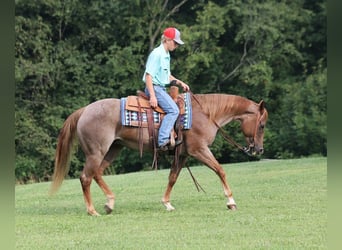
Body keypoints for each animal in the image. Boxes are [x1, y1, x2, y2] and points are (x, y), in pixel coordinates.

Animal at [49, 93, 268, 216]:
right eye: (262, 125)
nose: (259, 150)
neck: (205, 113)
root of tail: (84, 110)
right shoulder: (199, 150)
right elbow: (220, 170)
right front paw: (231, 202)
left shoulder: (183, 155)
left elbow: (172, 178)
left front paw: (167, 204)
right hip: (96, 152)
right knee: (86, 177)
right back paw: (92, 210)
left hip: (113, 149)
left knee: (97, 174)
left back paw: (109, 203)